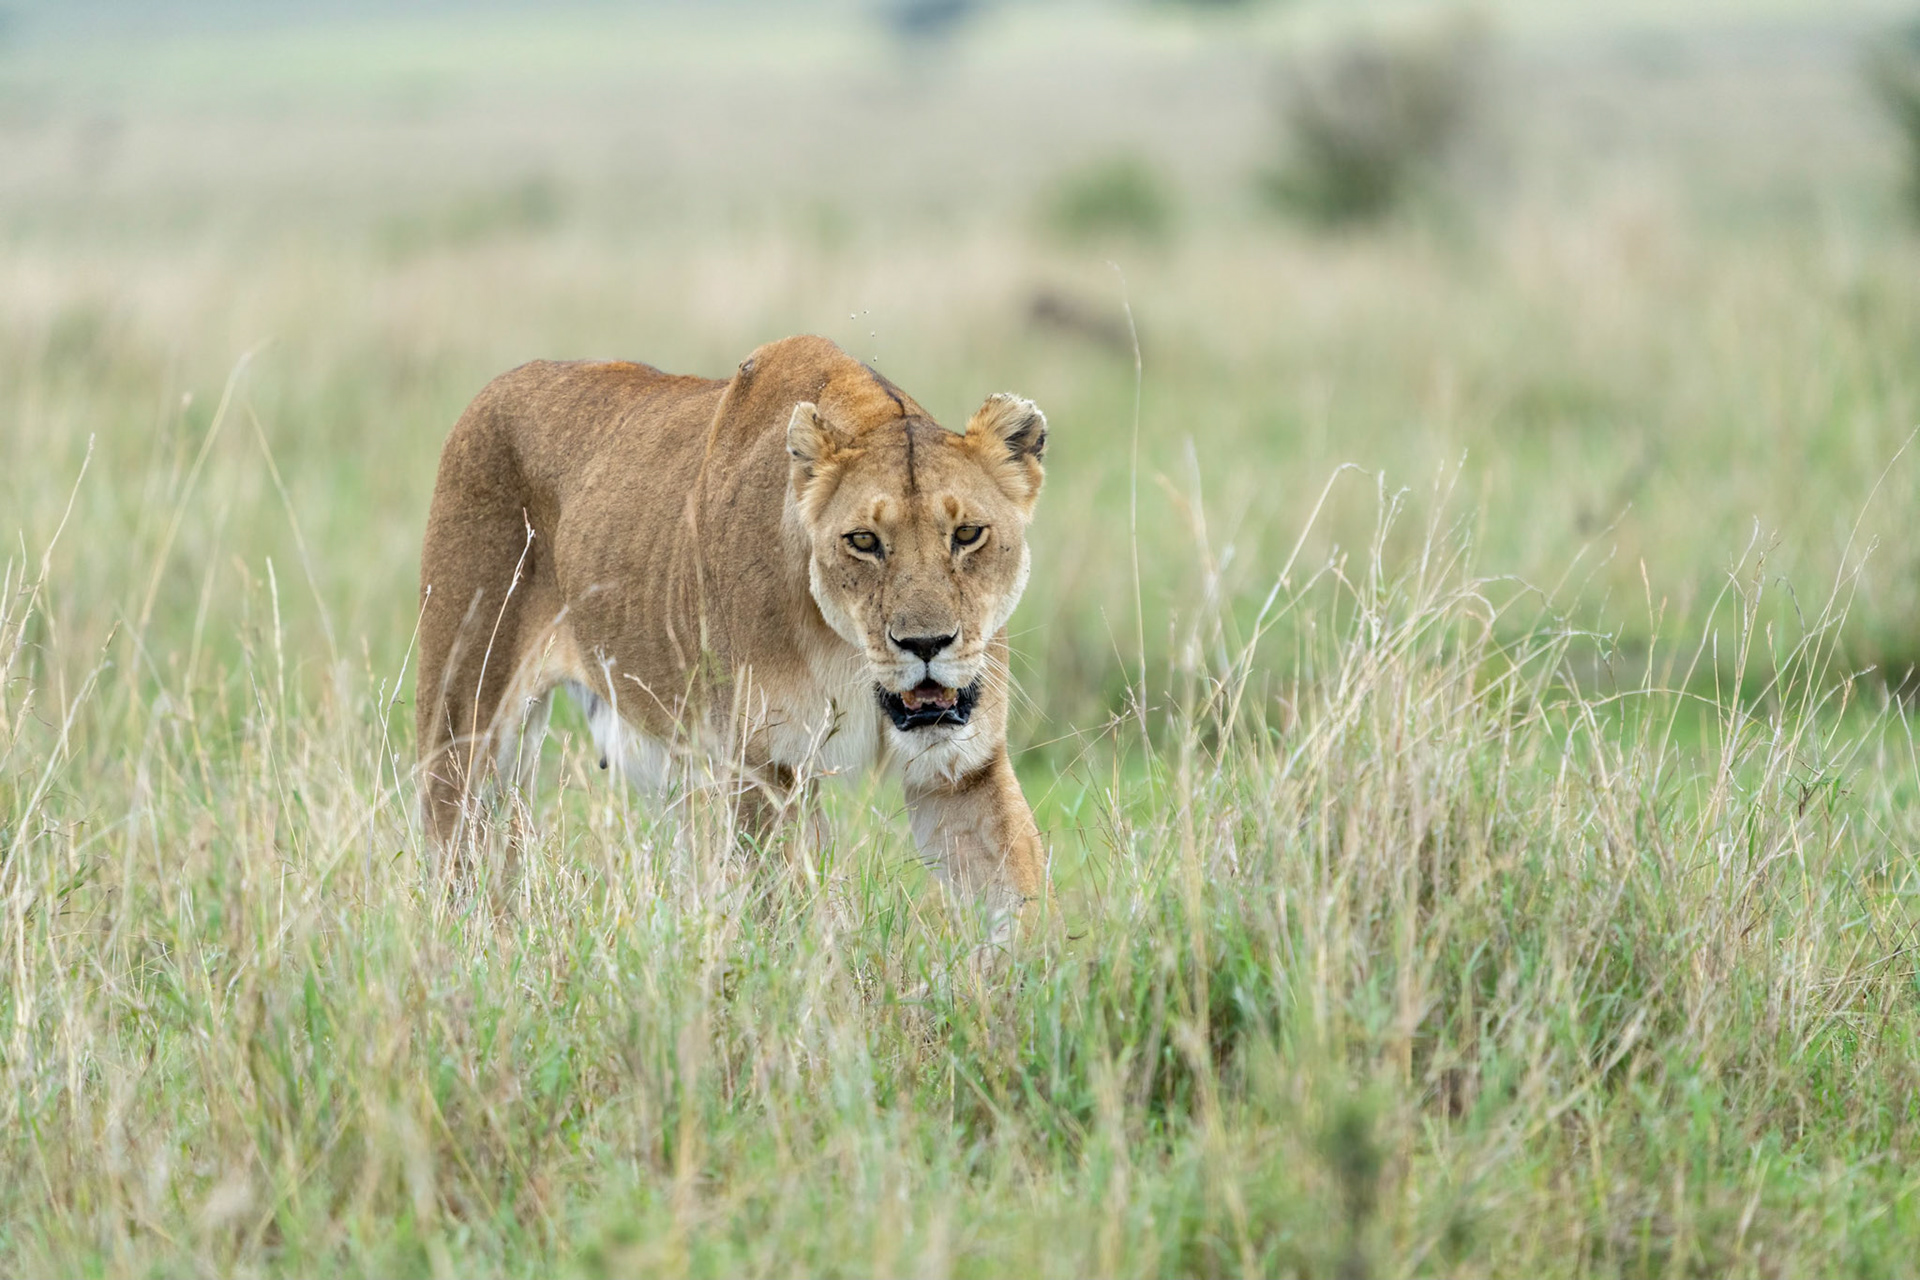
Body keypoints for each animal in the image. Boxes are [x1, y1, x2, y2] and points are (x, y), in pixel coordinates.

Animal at [415, 334, 1051, 934]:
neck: (847, 652)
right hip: (464, 714)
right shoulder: (759, 769)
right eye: (864, 541)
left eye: (967, 534)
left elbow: (1020, 897)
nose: (925, 645)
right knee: (454, 849)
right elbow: (790, 914)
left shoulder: (963, 771)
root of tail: (495, 386)